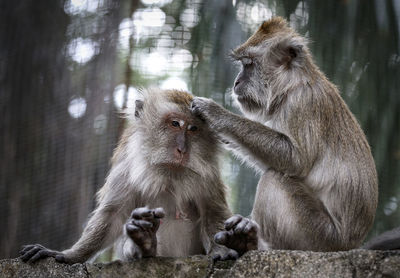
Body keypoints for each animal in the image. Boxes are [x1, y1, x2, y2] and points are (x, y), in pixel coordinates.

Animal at [20, 88, 236, 262]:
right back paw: (146, 244)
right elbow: (112, 214)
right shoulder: (126, 165)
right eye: (175, 123)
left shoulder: (208, 173)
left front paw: (221, 249)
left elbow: (212, 210)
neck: (167, 173)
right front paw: (70, 255)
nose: (182, 150)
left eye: (193, 129)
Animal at [191, 15, 378, 254]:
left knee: (274, 179)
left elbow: (295, 160)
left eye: (248, 64)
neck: (293, 84)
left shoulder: (302, 103)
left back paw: (254, 244)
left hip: (319, 236)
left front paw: (215, 114)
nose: (236, 82)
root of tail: (350, 245)